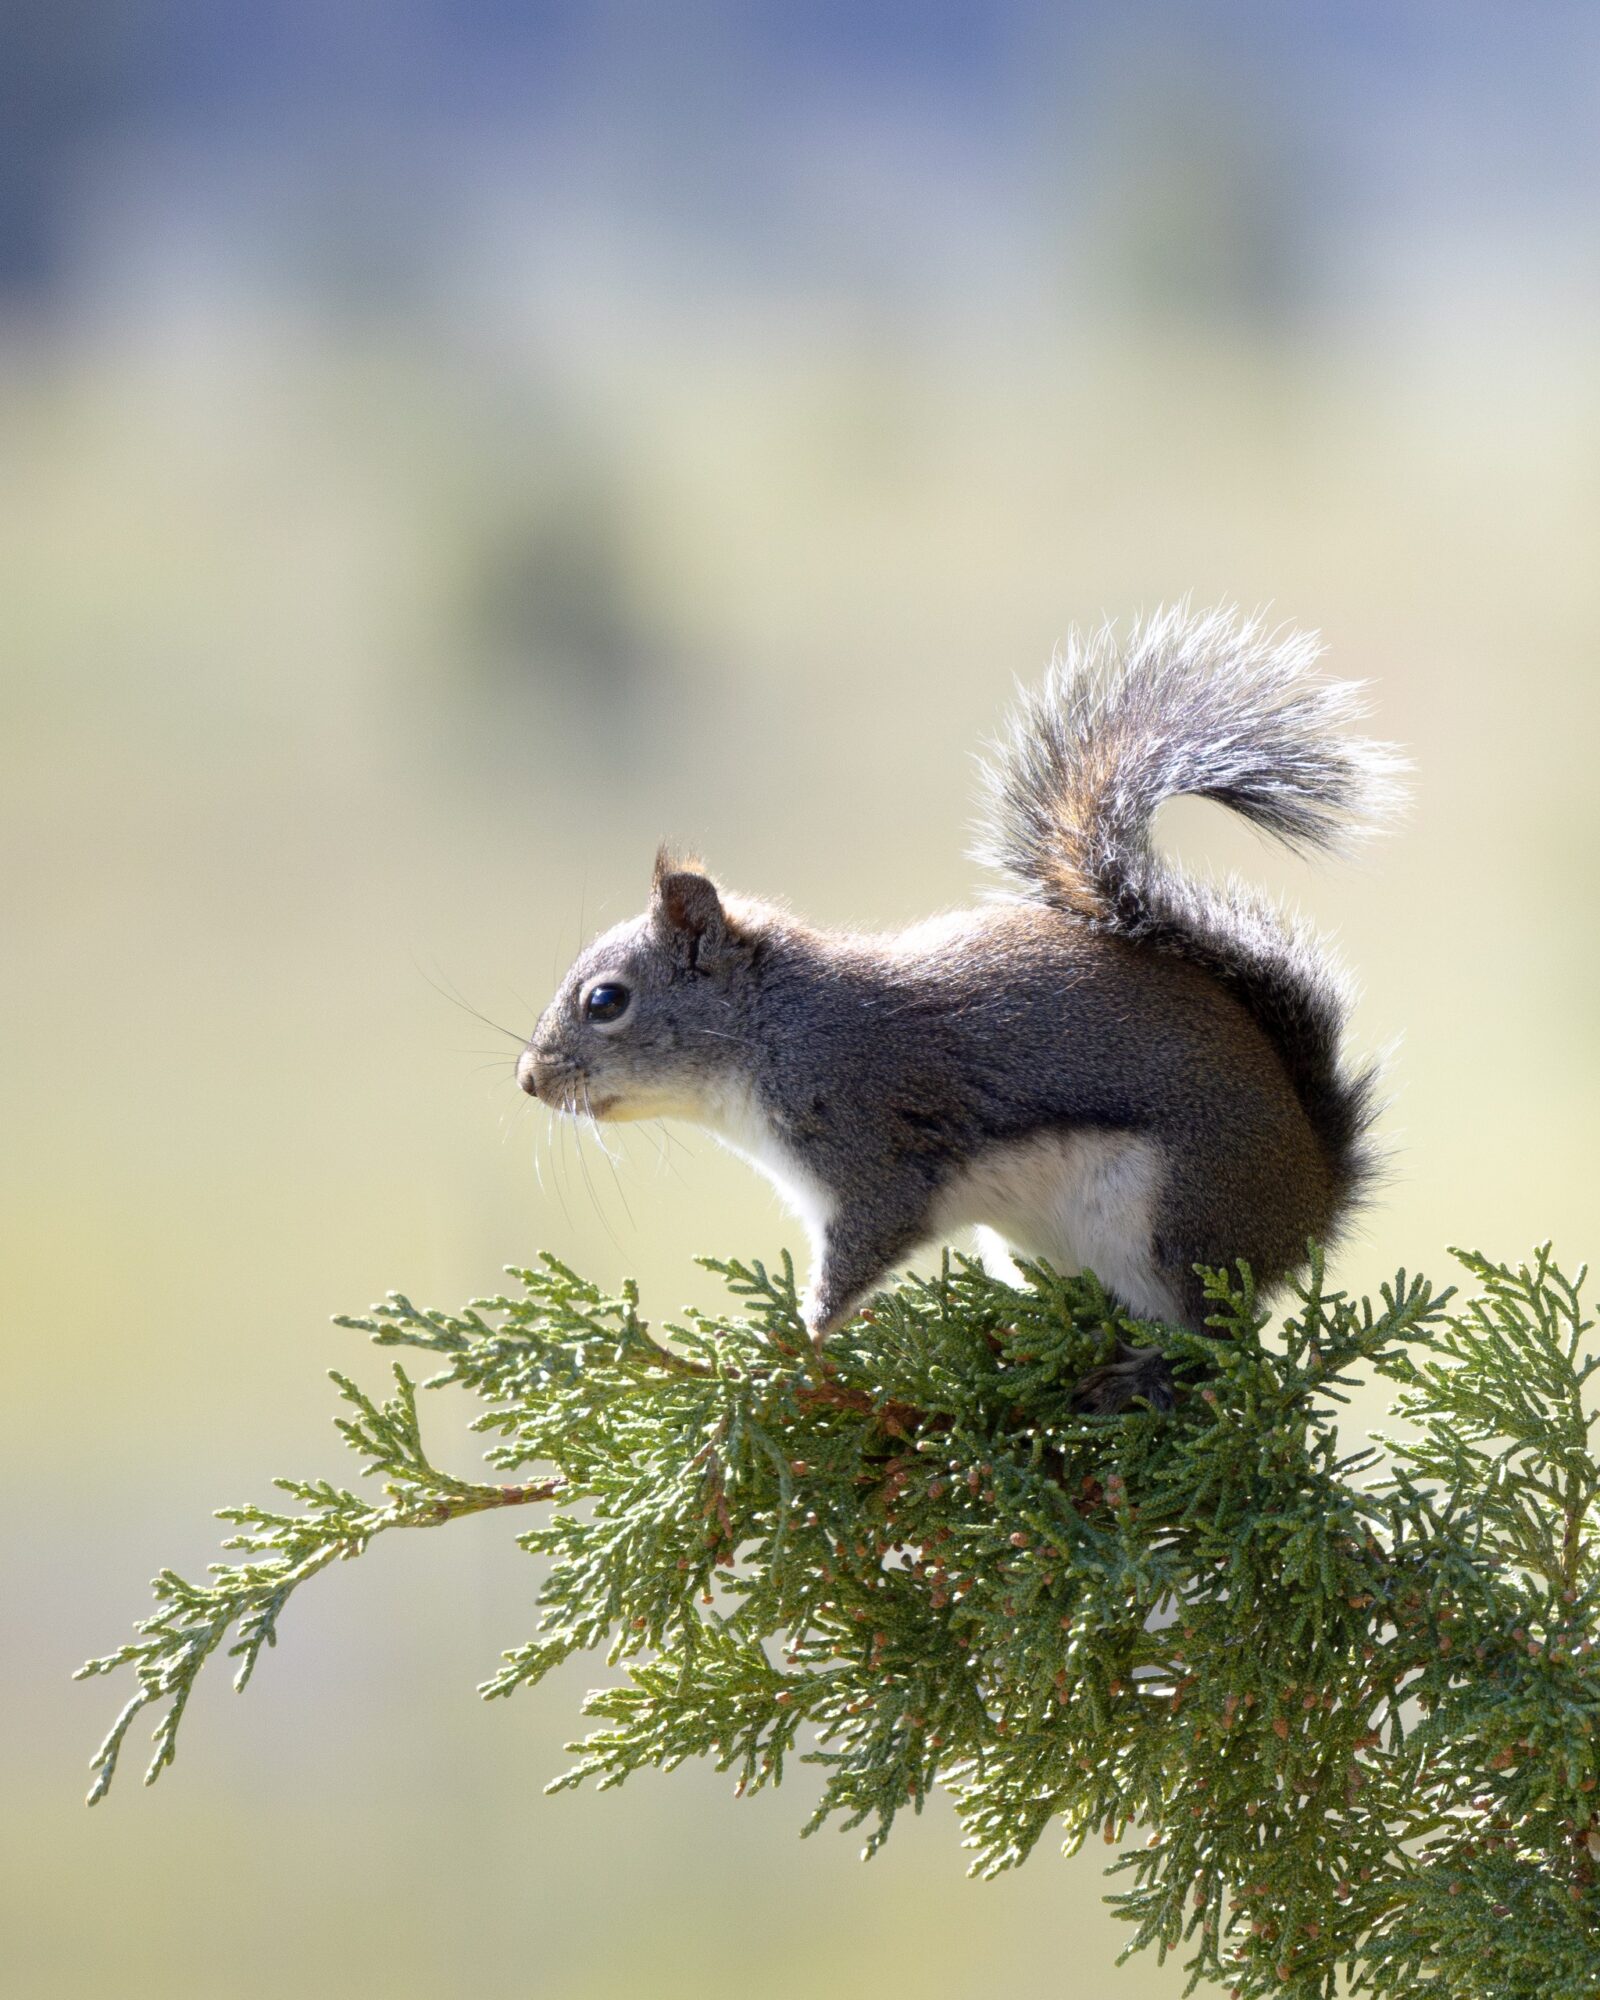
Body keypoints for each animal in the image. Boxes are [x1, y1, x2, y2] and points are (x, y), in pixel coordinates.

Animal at [516, 605, 1402, 1413]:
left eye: (605, 1001)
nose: (530, 1081)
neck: (774, 1029)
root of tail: (1318, 1195)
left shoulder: (873, 1153)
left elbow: (849, 1271)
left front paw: (787, 1350)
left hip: (1179, 1221)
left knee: (1210, 1342)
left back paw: (1143, 1379)